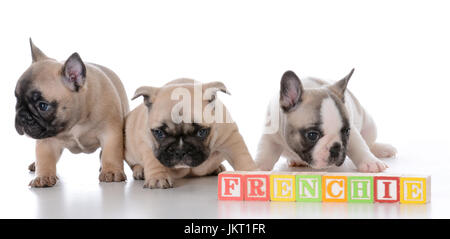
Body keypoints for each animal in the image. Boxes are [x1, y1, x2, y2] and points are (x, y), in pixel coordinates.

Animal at [14, 39, 129, 187]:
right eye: (17, 99)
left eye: (43, 106)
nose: (22, 116)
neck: (75, 122)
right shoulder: (46, 139)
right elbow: (44, 158)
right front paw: (43, 176)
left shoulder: (111, 133)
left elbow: (111, 153)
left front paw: (111, 171)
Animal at [125, 78, 256, 189]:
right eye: (159, 133)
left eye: (202, 132)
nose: (180, 151)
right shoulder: (147, 141)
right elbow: (153, 160)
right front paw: (158, 177)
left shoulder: (231, 138)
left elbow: (242, 157)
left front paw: (251, 174)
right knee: (134, 164)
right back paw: (140, 171)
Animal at [256, 69, 398, 172]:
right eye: (312, 135)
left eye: (346, 132)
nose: (336, 147)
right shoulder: (270, 135)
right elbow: (265, 152)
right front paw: (258, 167)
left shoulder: (353, 132)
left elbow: (359, 146)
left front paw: (370, 162)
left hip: (370, 126)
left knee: (369, 142)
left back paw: (383, 149)